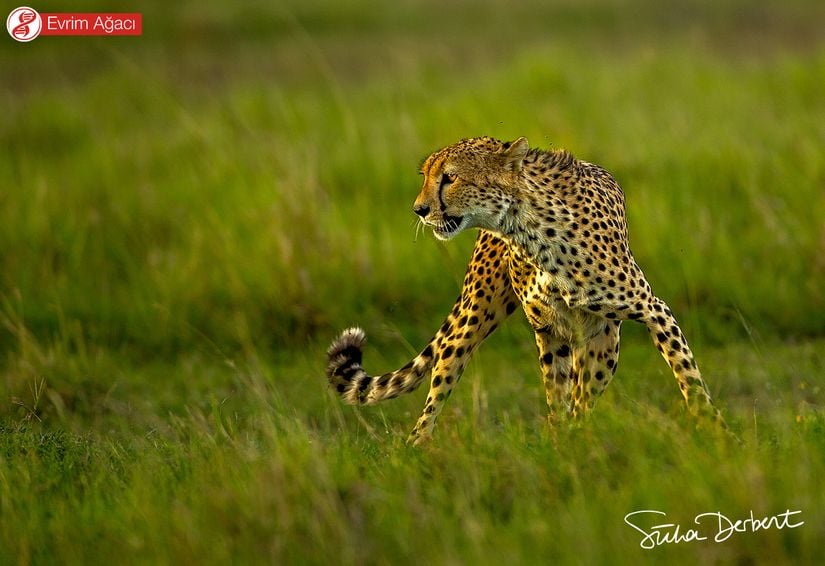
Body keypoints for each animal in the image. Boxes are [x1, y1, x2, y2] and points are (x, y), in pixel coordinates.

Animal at [326, 135, 724, 446]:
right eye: (426, 176)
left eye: (450, 177)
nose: (419, 209)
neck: (530, 227)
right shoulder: (549, 332)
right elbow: (556, 394)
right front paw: (561, 443)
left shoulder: (651, 310)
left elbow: (688, 375)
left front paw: (717, 432)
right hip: (474, 318)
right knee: (441, 381)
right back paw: (415, 447)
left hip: (605, 342)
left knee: (586, 392)